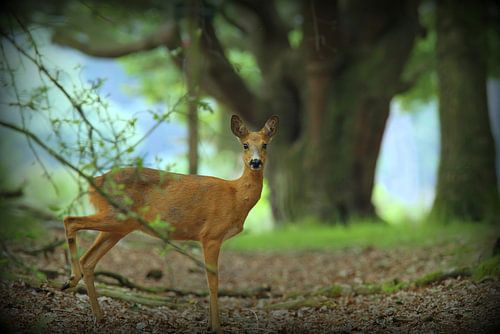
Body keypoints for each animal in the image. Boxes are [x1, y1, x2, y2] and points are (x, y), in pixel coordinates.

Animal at [61, 114, 280, 332]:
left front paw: (211, 324)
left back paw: (98, 315)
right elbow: (213, 282)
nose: (255, 162)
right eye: (245, 145)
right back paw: (71, 281)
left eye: (265, 144)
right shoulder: (211, 235)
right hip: (117, 215)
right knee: (70, 220)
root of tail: (94, 182)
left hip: (120, 226)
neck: (236, 196)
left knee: (88, 260)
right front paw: (216, 326)